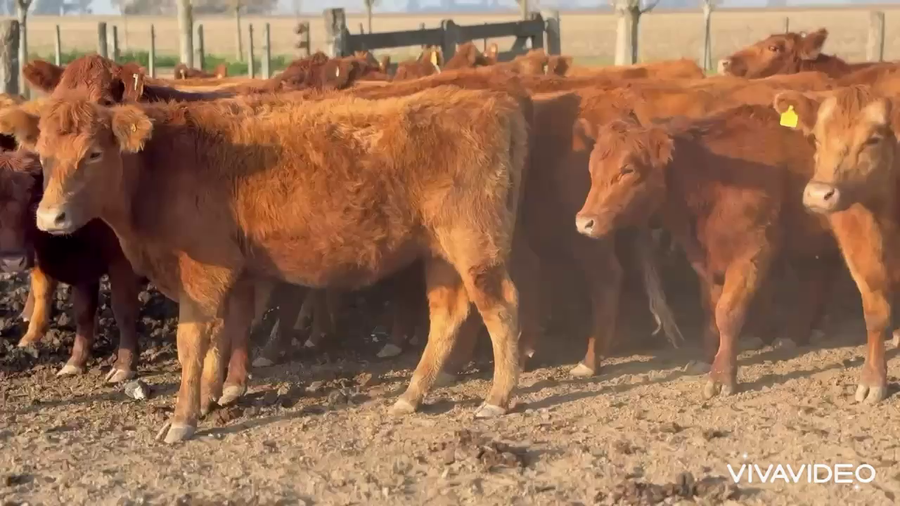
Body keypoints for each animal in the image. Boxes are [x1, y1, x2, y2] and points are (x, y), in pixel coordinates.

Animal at [0, 149, 142, 382]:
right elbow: (83, 314)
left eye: (31, 200)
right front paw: (75, 362)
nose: (12, 261)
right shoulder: (82, 269)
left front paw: (124, 365)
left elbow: (124, 310)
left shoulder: (122, 263)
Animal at [573, 105, 839, 397]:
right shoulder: (705, 260)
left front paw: (722, 376)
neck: (716, 180)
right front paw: (706, 359)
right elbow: (711, 311)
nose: (584, 222)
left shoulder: (752, 252)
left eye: (627, 169)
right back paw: (799, 333)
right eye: (591, 169)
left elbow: (727, 313)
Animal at [772, 85, 900, 404]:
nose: (819, 194)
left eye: (873, 140)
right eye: (816, 138)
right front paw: (873, 380)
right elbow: (875, 313)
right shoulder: (859, 249)